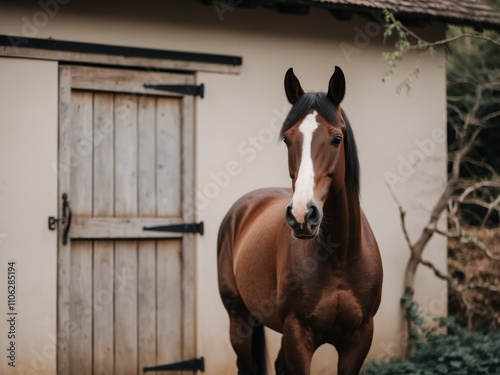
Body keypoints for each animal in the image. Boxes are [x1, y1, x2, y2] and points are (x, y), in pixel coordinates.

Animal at [217, 66, 384, 374]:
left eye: (336, 138)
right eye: (287, 139)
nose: (302, 215)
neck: (339, 257)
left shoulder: (359, 339)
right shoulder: (297, 334)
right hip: (239, 319)